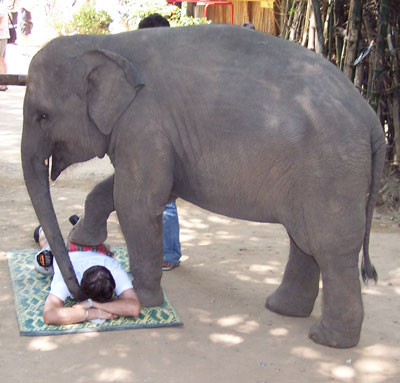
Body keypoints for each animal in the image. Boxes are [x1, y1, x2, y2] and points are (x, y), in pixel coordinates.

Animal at [20, 23, 386, 348]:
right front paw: (83, 240)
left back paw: (327, 340)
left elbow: (137, 200)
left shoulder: (143, 123)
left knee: (331, 249)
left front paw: (145, 299)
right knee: (304, 241)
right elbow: (133, 190)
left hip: (331, 171)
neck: (107, 43)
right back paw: (283, 310)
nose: (79, 291)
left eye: (43, 116)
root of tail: (371, 120)